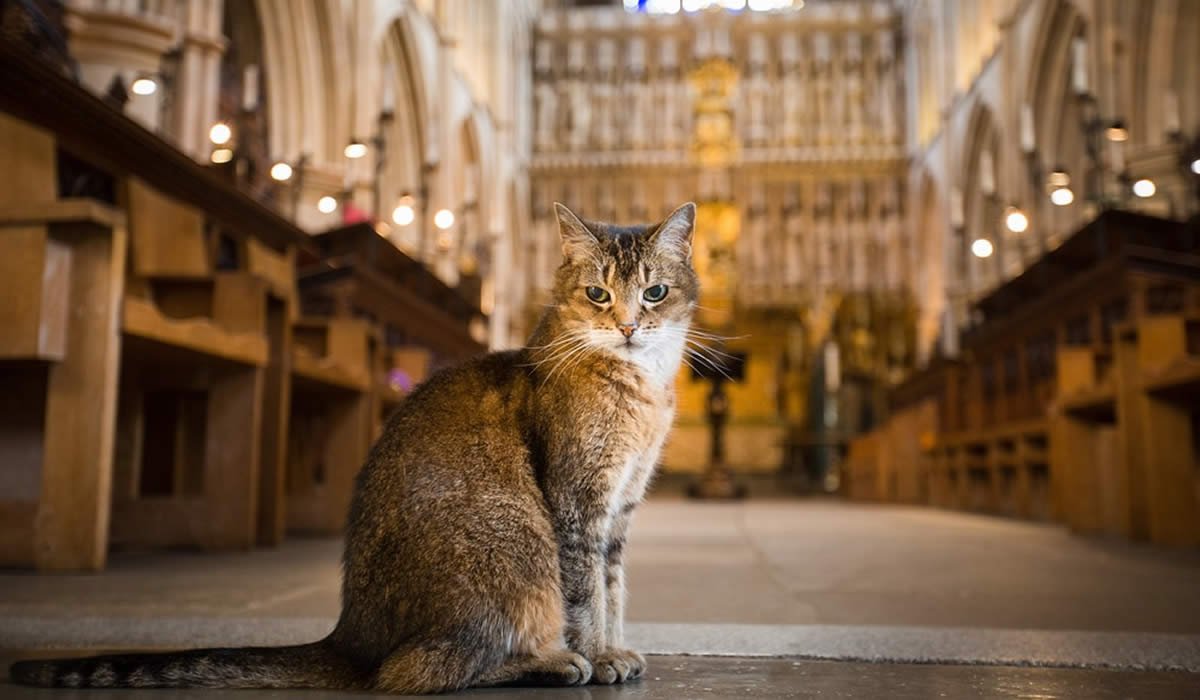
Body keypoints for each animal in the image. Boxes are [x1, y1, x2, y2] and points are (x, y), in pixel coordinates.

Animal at [9, 201, 700, 696]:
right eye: (598, 295)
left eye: (654, 293)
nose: (628, 326)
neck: (640, 388)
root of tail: (348, 638)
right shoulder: (579, 507)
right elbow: (586, 596)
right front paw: (597, 654)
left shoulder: (619, 511)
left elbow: (613, 589)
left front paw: (615, 646)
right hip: (516, 546)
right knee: (411, 673)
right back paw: (549, 663)